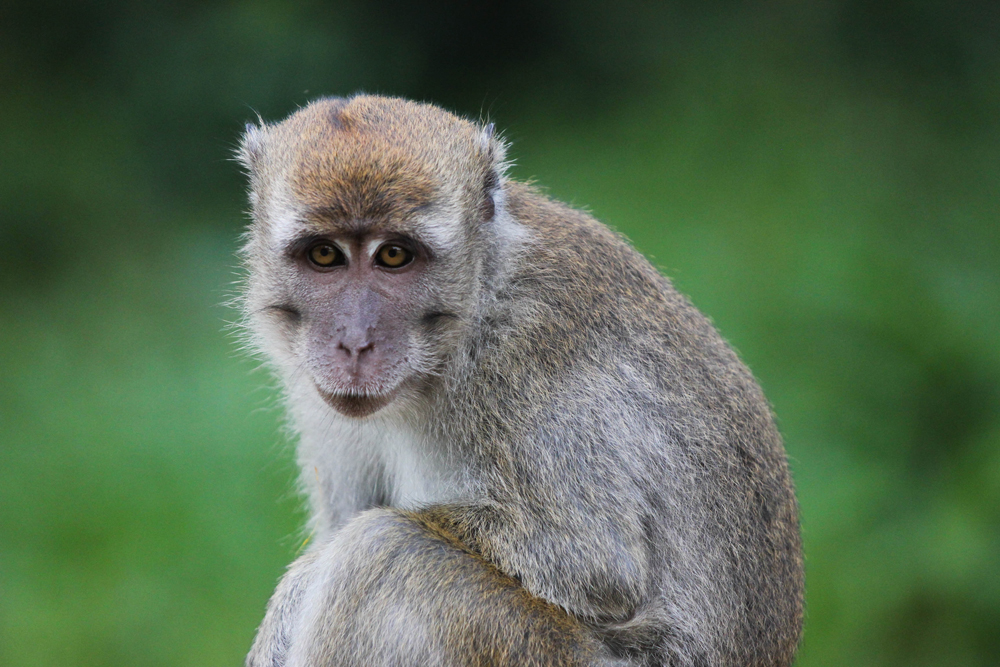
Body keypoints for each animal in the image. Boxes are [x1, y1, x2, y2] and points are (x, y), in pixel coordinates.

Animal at [236, 95, 804, 667]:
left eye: (394, 255)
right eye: (324, 255)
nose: (354, 342)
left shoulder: (528, 360)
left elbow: (593, 563)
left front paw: (298, 587)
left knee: (385, 549)